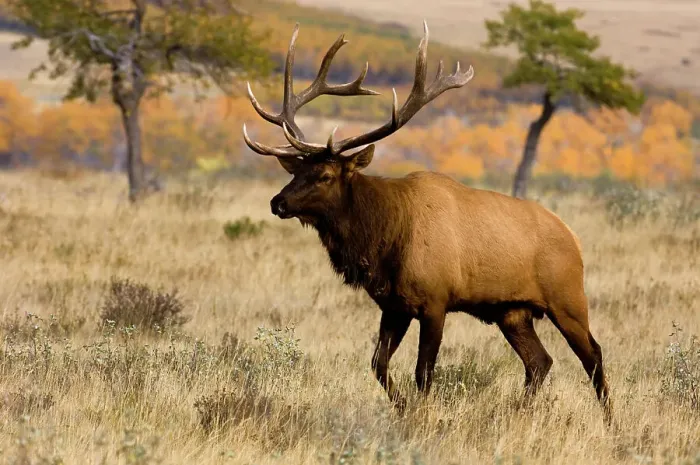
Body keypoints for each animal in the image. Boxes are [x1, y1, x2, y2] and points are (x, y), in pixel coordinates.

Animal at [242, 21, 611, 420]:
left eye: (325, 174)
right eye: (297, 170)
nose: (278, 202)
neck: (385, 240)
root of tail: (573, 238)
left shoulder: (436, 301)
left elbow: (423, 372)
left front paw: (421, 416)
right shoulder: (393, 305)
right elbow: (378, 364)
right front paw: (403, 408)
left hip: (568, 298)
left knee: (593, 355)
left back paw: (610, 421)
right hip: (511, 311)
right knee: (539, 361)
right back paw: (516, 413)